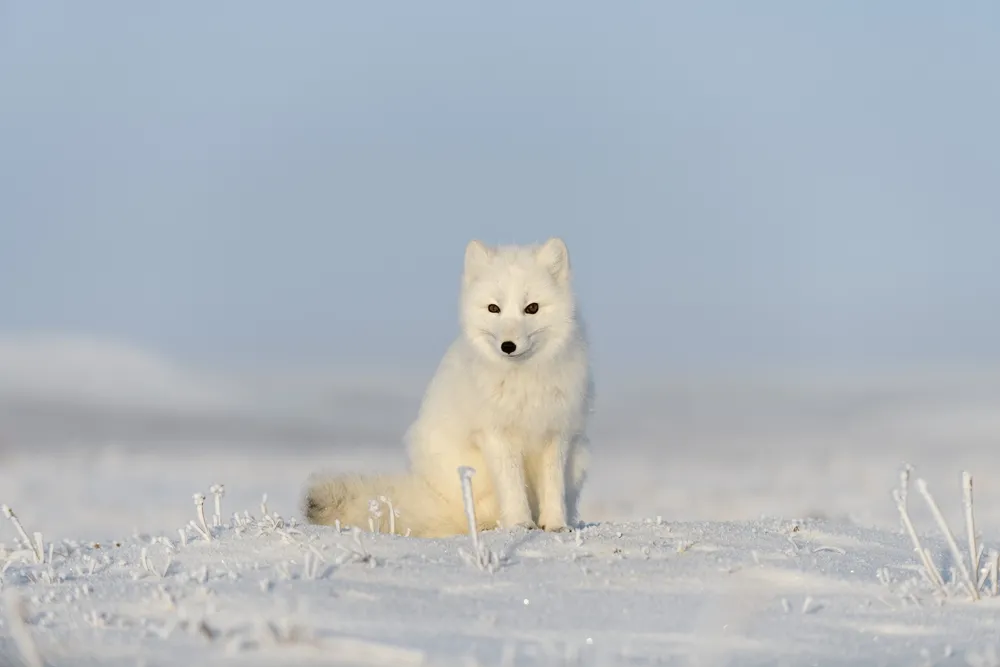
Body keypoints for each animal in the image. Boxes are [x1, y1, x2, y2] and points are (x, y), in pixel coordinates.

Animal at [303, 237, 593, 537]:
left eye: (532, 307)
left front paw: (556, 525)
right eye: (494, 308)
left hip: (581, 457)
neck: (523, 382)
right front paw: (520, 525)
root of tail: (432, 499)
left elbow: (554, 488)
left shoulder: (557, 433)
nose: (508, 346)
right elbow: (512, 488)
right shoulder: (496, 435)